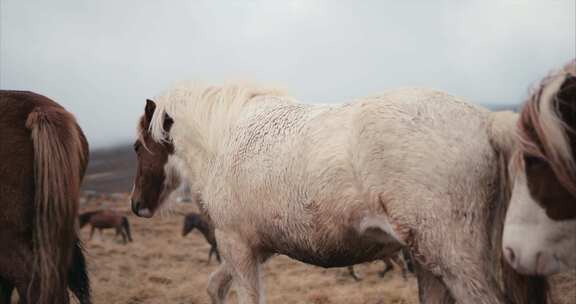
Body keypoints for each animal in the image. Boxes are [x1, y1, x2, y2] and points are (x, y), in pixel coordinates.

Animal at [132, 83, 548, 304]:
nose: (136, 205)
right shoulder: (258, 248)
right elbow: (215, 285)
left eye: (137, 147)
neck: (223, 138)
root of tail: (486, 121)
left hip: (452, 262)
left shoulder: (236, 246)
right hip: (428, 261)